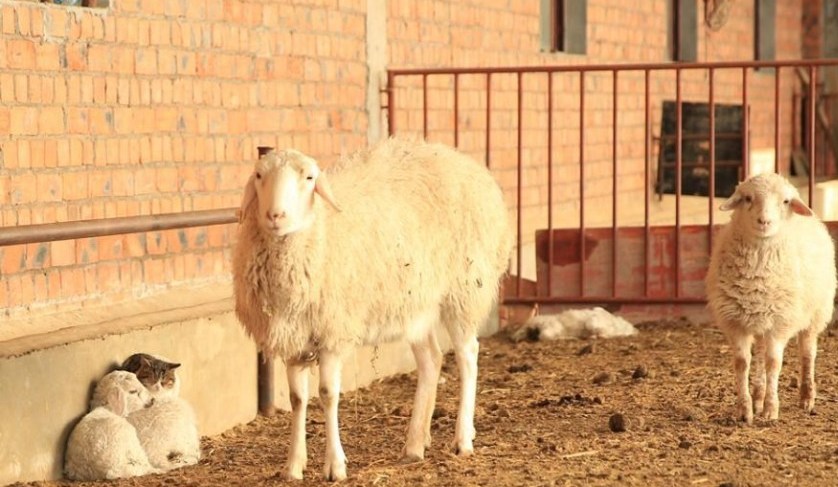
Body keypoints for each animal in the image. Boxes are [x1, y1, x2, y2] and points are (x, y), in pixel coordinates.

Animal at [233, 137, 516, 480]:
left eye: (309, 178)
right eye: (259, 175)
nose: (276, 215)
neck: (320, 231)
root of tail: (468, 164)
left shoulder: (333, 332)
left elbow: (327, 394)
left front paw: (335, 465)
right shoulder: (294, 336)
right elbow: (298, 399)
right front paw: (293, 466)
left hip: (464, 289)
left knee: (468, 356)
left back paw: (462, 439)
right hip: (415, 304)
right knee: (431, 360)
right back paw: (415, 444)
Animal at [704, 173, 836, 426]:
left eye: (785, 201)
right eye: (747, 198)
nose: (764, 221)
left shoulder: (779, 323)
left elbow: (774, 363)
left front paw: (770, 410)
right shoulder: (736, 322)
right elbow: (742, 363)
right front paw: (745, 410)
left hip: (816, 313)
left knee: (807, 352)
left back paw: (806, 398)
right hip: (760, 319)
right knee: (760, 358)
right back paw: (758, 395)